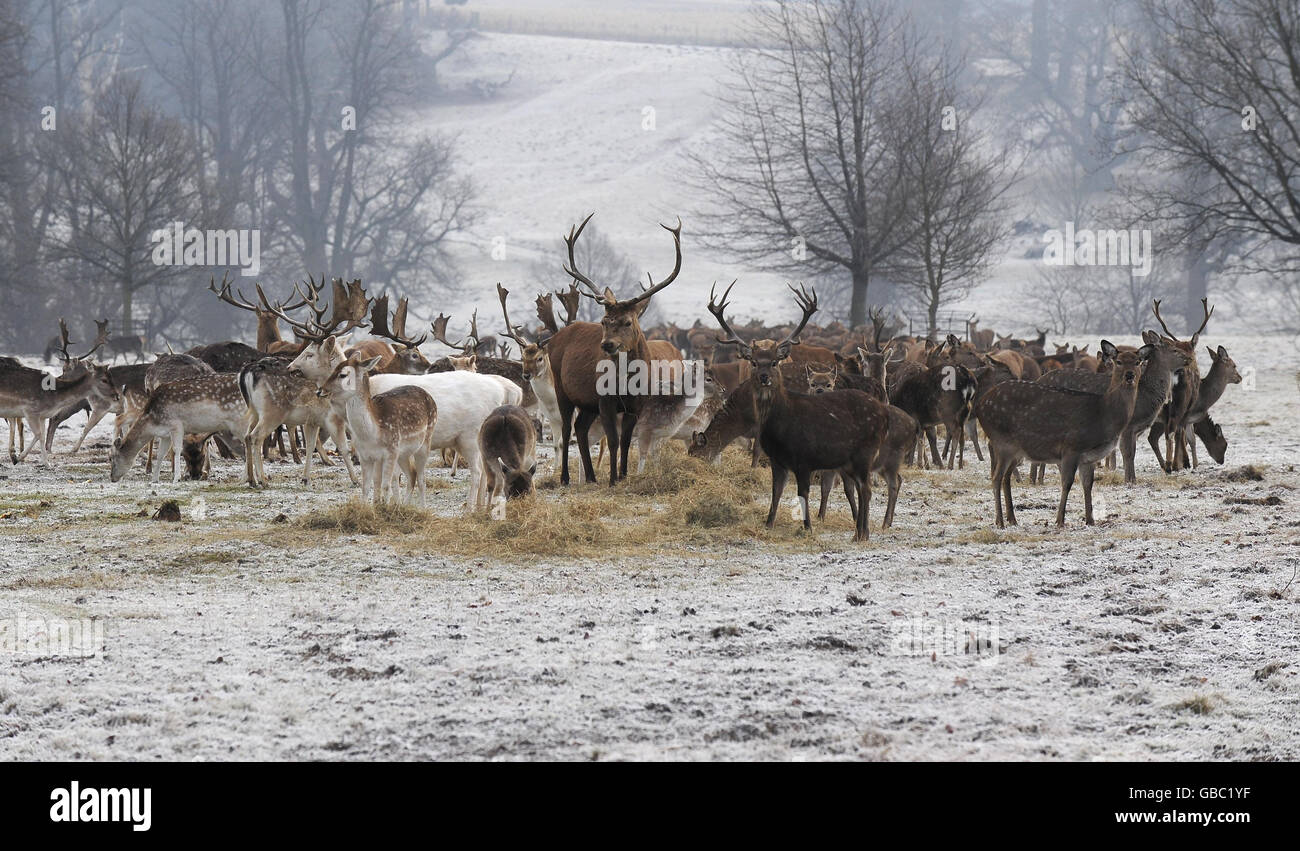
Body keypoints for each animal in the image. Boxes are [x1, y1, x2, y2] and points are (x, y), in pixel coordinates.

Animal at [315, 353, 439, 506]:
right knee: (412, 474)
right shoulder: (365, 456)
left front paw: (385, 509)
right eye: (333, 369)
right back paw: (404, 506)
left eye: (343, 374)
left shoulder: (391, 451)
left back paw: (422, 508)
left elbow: (386, 485)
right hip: (403, 453)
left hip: (425, 441)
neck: (372, 434)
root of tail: (429, 396)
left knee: (422, 479)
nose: (320, 391)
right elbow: (367, 486)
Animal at [707, 283, 889, 543]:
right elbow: (776, 493)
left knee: (867, 488)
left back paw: (861, 533)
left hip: (865, 452)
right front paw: (769, 524)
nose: (764, 377)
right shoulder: (777, 460)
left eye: (774, 362)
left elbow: (803, 493)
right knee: (862, 488)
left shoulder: (804, 458)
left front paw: (808, 527)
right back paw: (860, 532)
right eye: (754, 362)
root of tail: (884, 414)